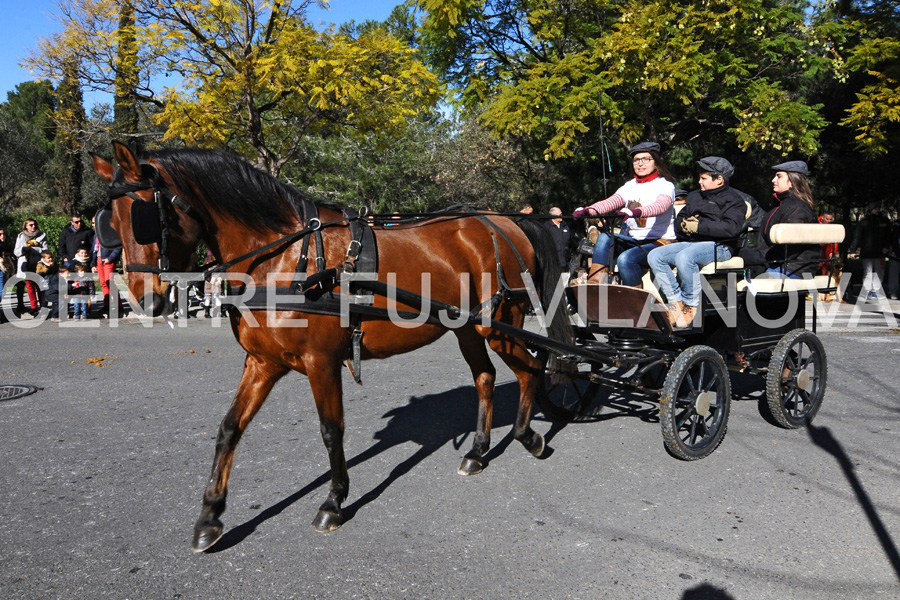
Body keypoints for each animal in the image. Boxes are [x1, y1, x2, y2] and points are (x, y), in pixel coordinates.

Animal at [89, 142, 568, 552]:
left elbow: (331, 431)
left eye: (143, 215)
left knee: (530, 369)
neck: (284, 257)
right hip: (468, 329)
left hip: (500, 324)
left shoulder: (321, 362)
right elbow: (229, 429)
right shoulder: (262, 362)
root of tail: (503, 222)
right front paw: (210, 516)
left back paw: (528, 436)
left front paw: (334, 501)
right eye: (108, 221)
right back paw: (478, 450)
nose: (142, 298)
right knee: (487, 377)